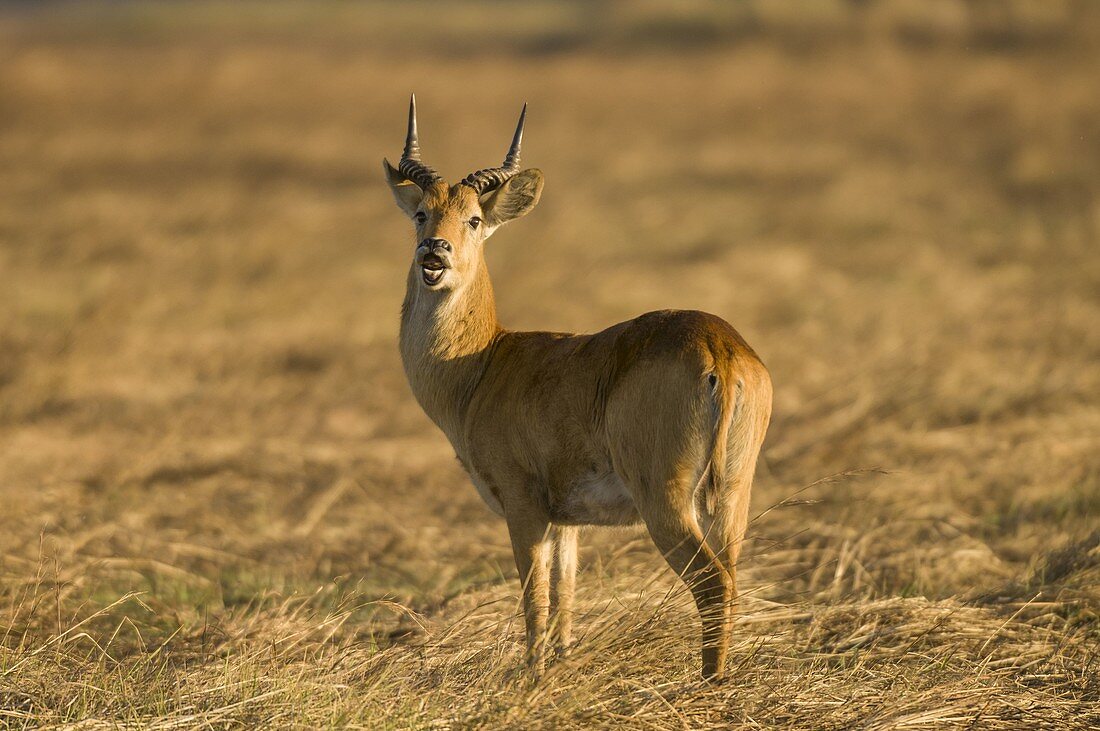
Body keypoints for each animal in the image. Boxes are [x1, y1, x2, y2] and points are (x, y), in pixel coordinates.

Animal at [387, 95, 774, 677]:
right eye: (421, 212)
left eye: (474, 218)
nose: (435, 252)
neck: (484, 365)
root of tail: (720, 350)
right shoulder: (567, 521)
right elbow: (565, 593)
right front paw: (561, 664)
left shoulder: (524, 506)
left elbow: (534, 598)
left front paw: (530, 675)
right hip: (732, 494)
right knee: (730, 576)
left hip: (666, 501)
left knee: (712, 584)